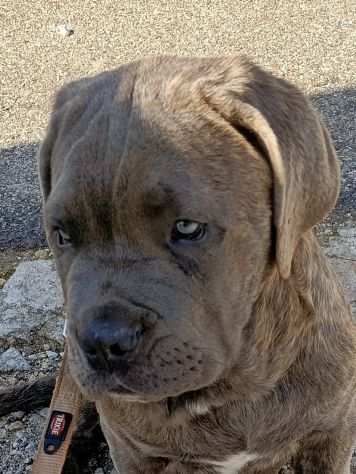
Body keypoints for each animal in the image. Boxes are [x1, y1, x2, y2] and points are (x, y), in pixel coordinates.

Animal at [36, 57, 356, 472]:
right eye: (62, 235)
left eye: (187, 227)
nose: (103, 341)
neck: (232, 389)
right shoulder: (132, 451)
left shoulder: (332, 431)